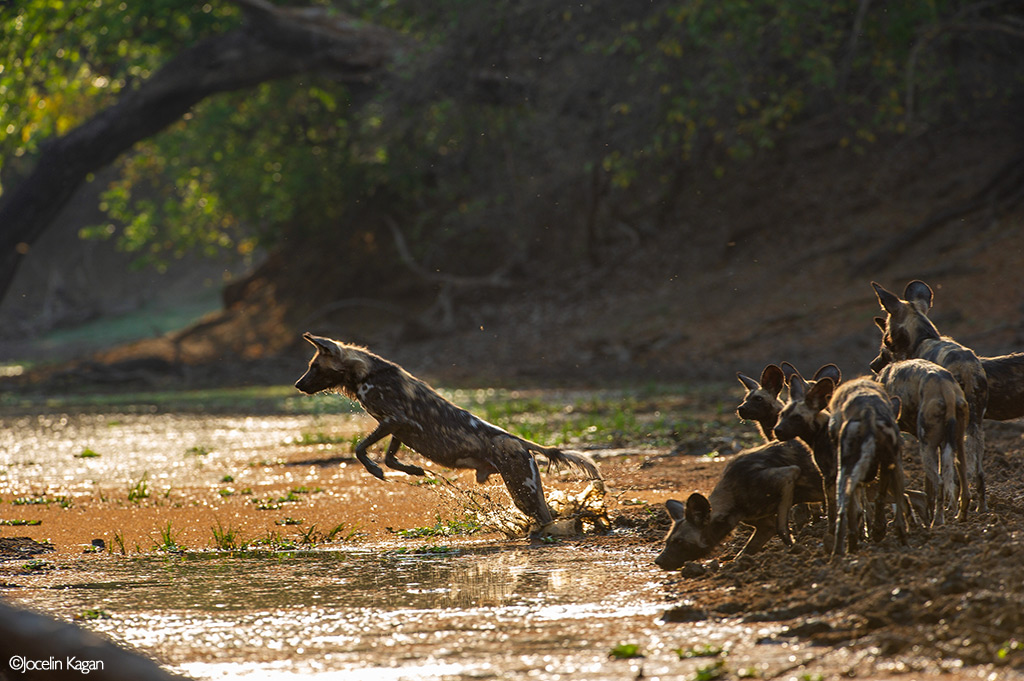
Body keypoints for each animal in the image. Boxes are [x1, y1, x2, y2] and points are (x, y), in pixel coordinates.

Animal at [290, 331, 598, 532]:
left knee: (545, 519)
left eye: (314, 366)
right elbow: (389, 456)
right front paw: (412, 470)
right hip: (526, 492)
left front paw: (375, 470)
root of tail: (521, 442)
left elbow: (359, 449)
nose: (297, 384)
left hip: (523, 492)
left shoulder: (393, 419)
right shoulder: (401, 427)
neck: (366, 373)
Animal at [655, 436, 823, 569]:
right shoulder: (765, 526)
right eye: (667, 542)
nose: (658, 561)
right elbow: (744, 552)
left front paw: (795, 551)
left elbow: (783, 531)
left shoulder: (788, 475)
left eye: (679, 542)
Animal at [827, 376, 909, 557]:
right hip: (895, 465)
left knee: (842, 513)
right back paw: (897, 539)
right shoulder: (890, 464)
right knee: (896, 511)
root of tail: (868, 411)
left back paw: (840, 552)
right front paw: (878, 530)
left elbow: (854, 510)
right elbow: (880, 498)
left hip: (844, 474)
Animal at [872, 352, 966, 522]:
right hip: (955, 445)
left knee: (940, 483)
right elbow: (928, 490)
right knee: (963, 479)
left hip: (926, 448)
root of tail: (945, 387)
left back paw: (937, 521)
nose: (872, 364)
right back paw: (960, 516)